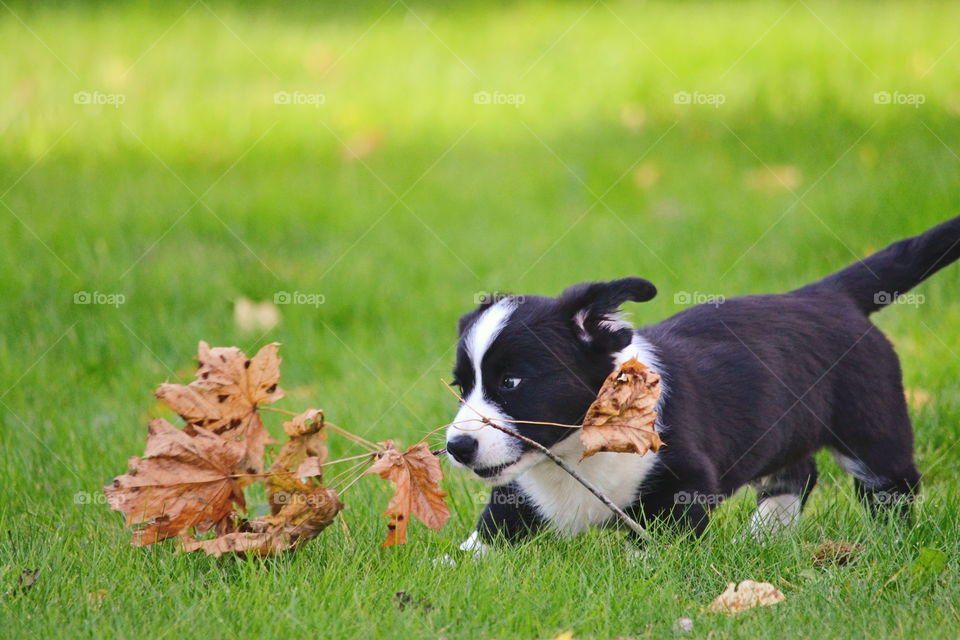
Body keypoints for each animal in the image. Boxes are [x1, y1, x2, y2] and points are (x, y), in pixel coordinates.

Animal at [442, 215, 960, 552]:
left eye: (511, 381)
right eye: (461, 386)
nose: (457, 448)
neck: (577, 452)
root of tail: (827, 294)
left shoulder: (686, 483)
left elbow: (655, 549)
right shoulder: (518, 494)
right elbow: (484, 539)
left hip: (873, 426)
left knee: (890, 486)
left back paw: (890, 540)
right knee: (797, 472)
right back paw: (763, 536)